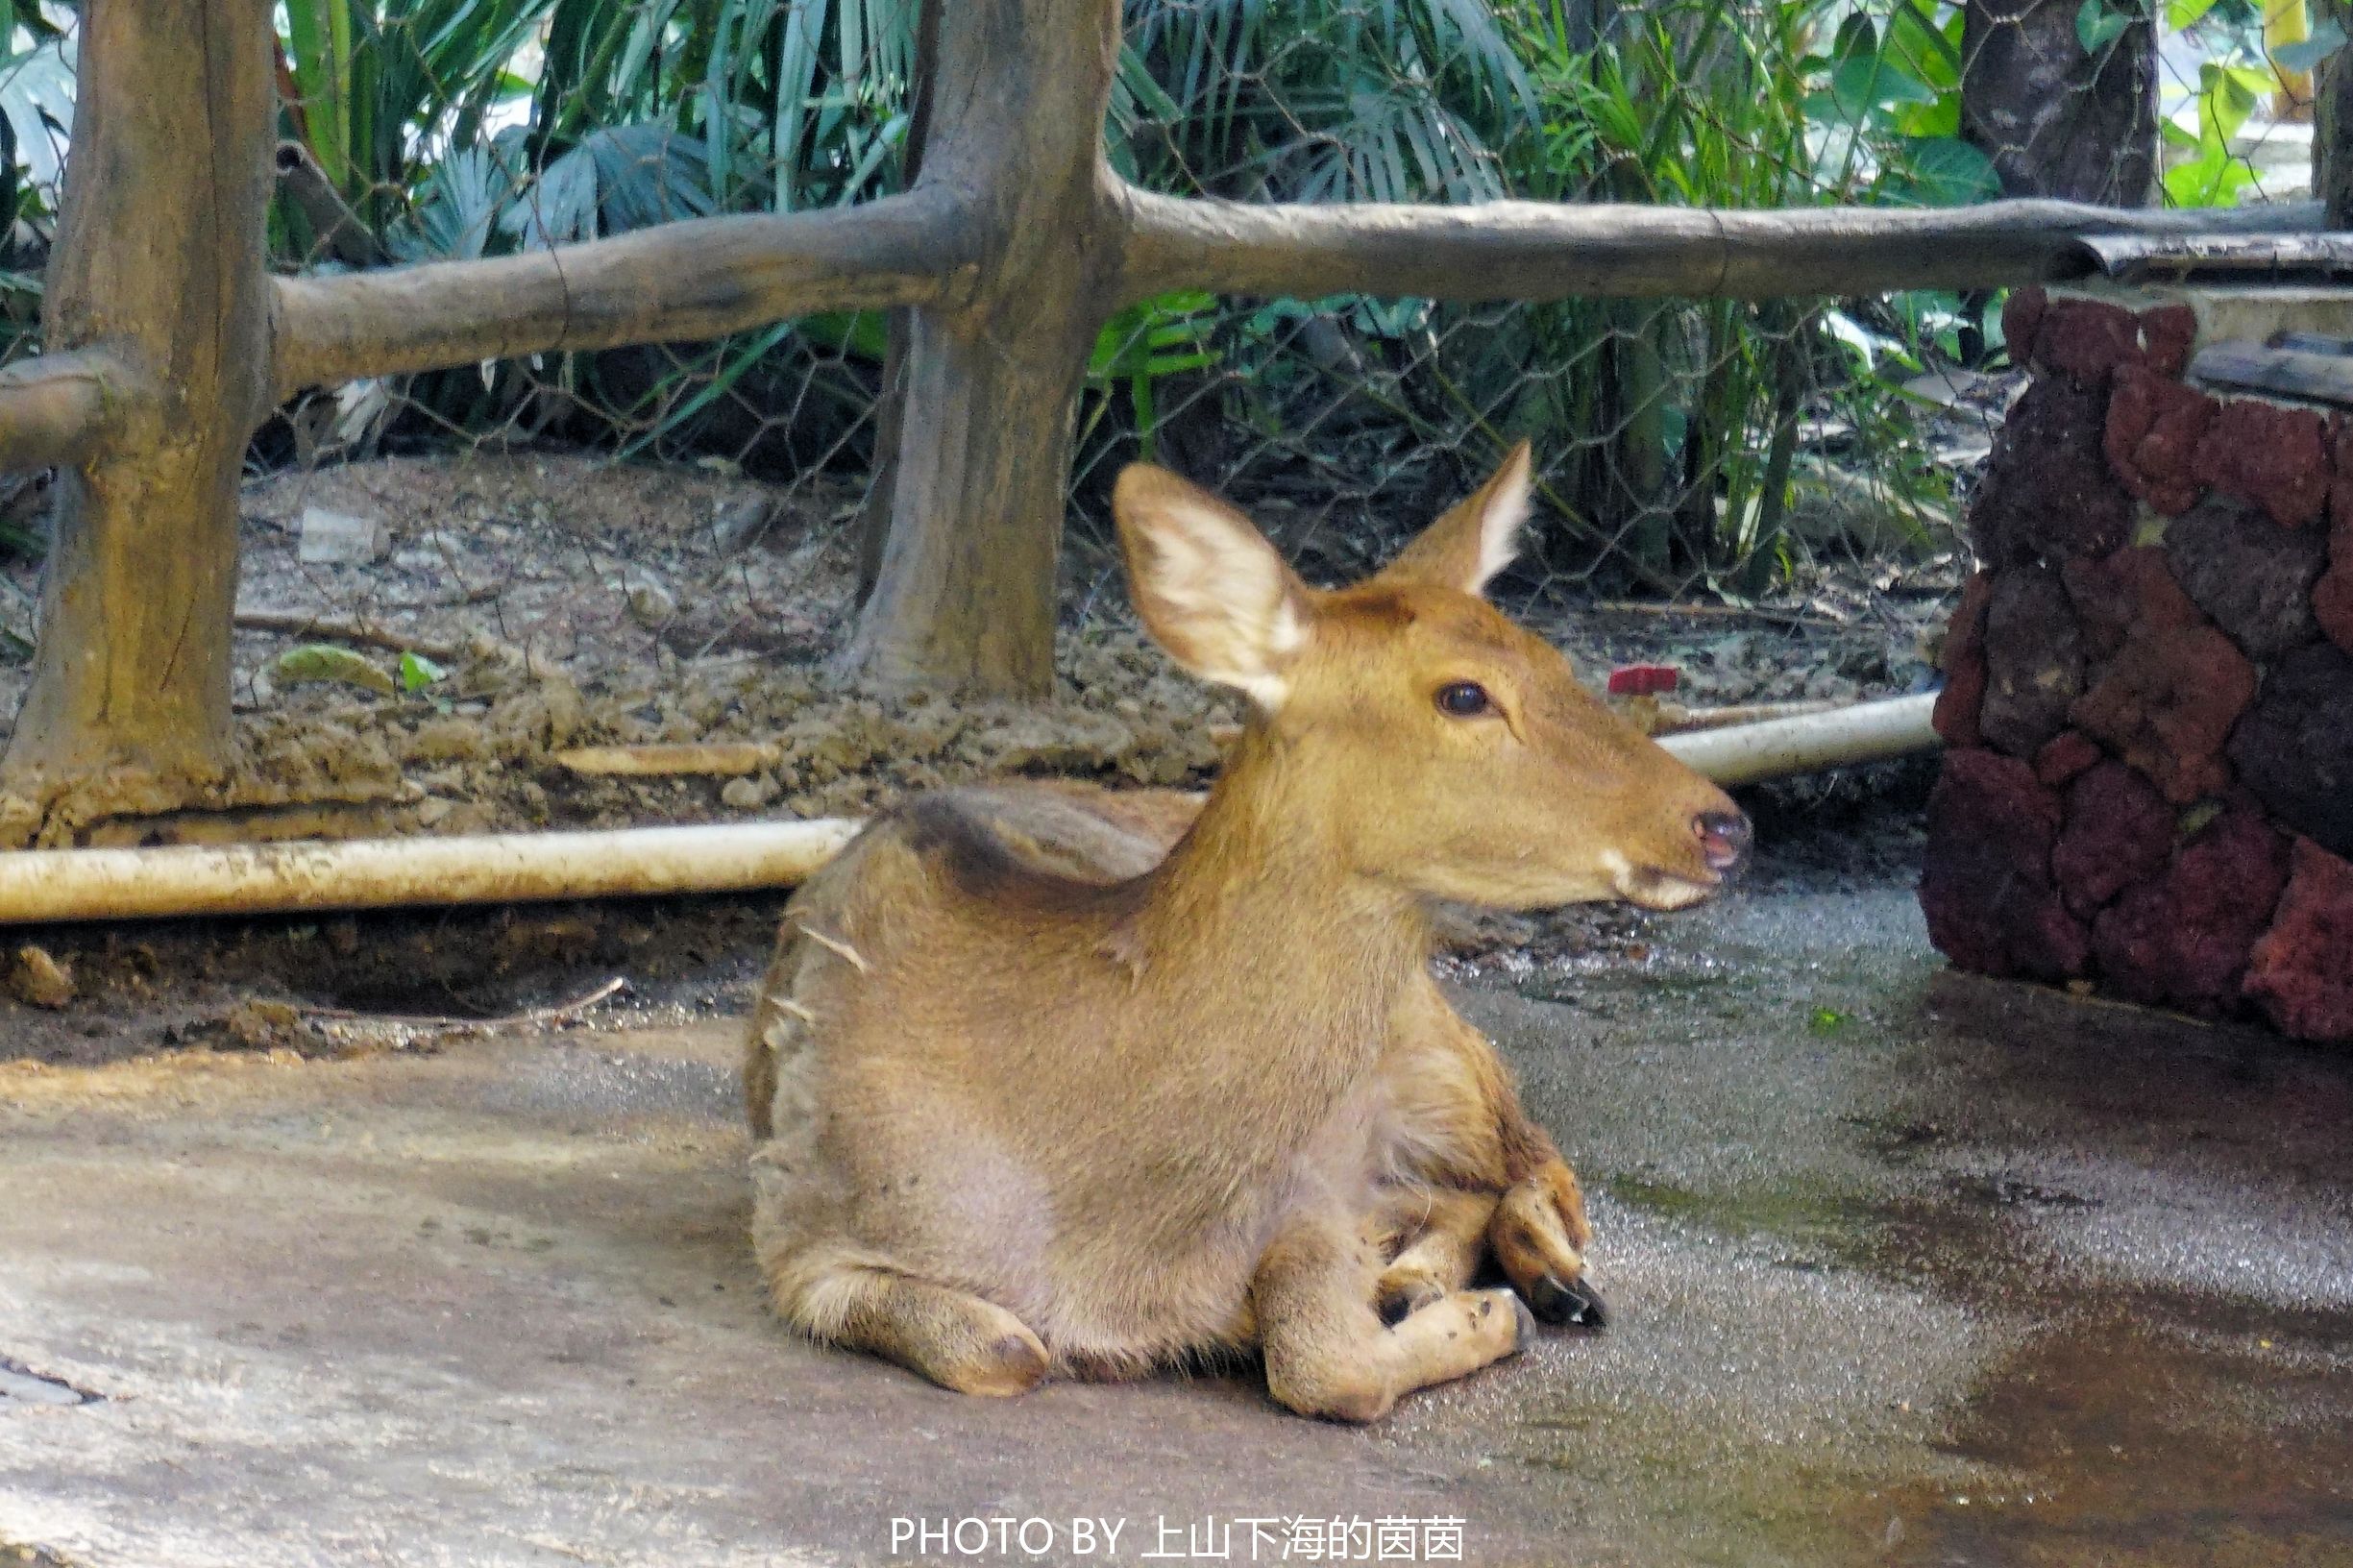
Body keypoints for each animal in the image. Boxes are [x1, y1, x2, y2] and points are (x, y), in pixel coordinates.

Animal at [738, 442, 1751, 1412]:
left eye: (1553, 658)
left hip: (1434, 1044)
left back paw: (1538, 1282)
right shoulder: (796, 1230)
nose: (1722, 824)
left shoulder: (1309, 1188)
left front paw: (1477, 1313)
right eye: (1463, 694)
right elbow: (1004, 1349)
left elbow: (1324, 1362)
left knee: (1532, 1159)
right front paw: (1449, 1305)